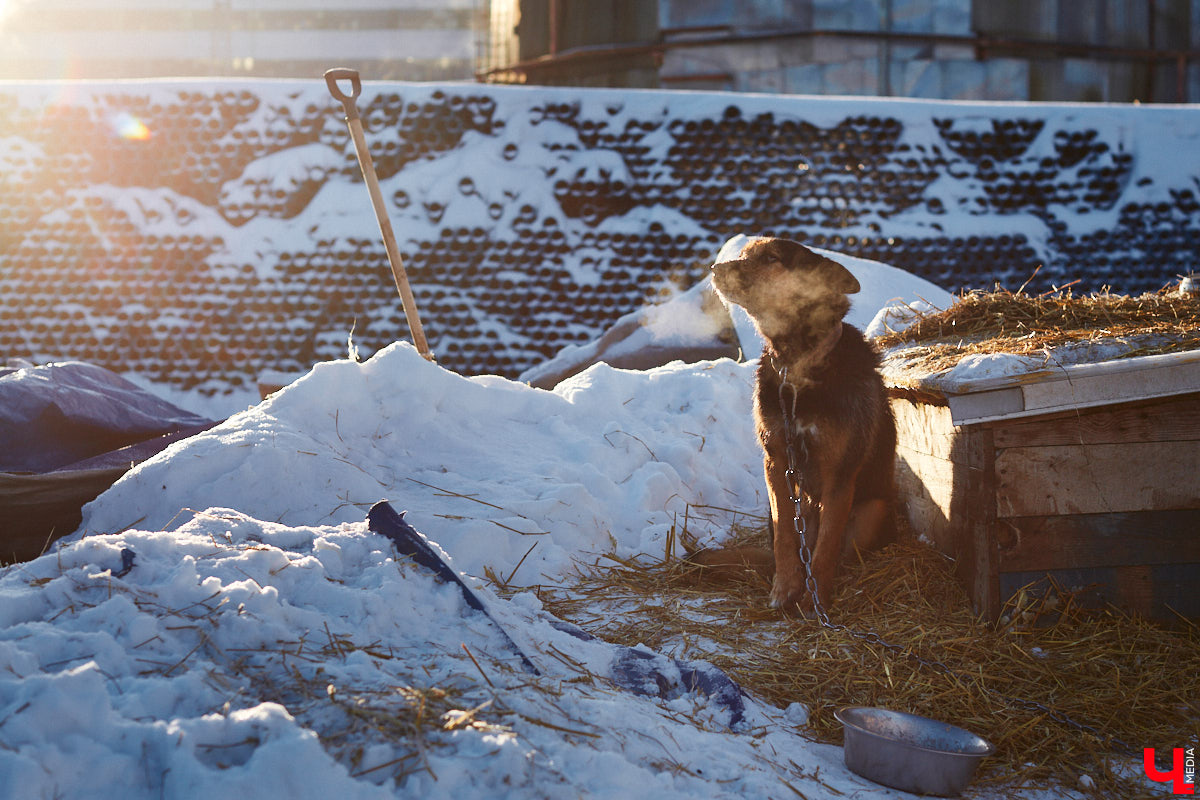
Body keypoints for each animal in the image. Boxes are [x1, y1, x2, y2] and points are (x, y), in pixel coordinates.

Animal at [691, 236, 897, 614]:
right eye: (744, 254)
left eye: (771, 258)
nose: (713, 268)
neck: (797, 366)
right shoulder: (776, 463)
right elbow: (785, 535)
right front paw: (784, 590)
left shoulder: (840, 474)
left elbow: (827, 545)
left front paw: (816, 601)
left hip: (874, 509)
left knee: (838, 551)